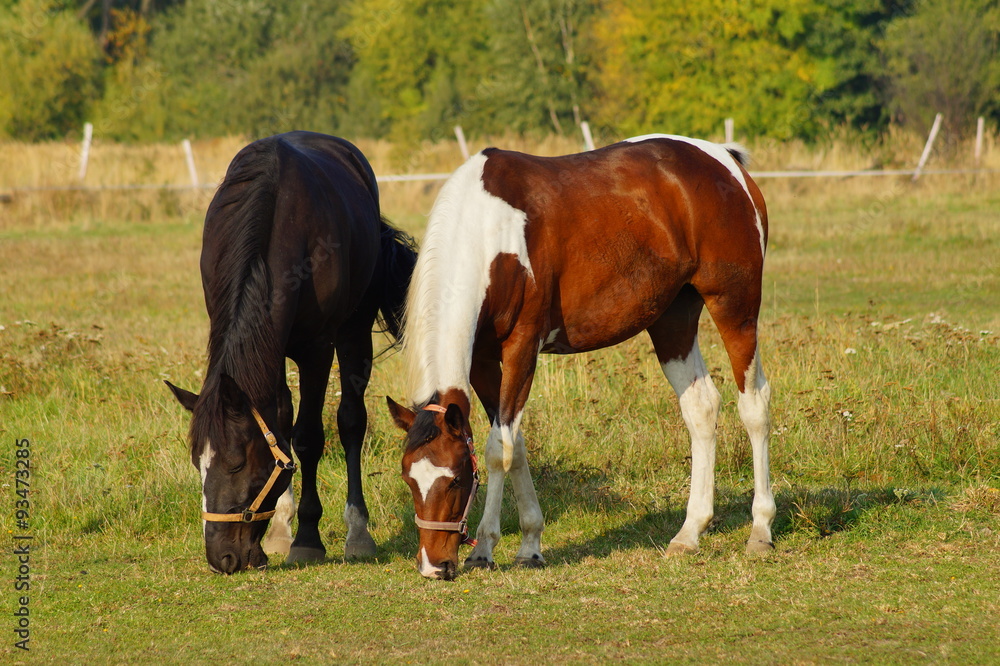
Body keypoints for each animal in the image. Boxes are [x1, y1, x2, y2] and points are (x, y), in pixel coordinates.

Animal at [166, 132, 416, 572]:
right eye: (198, 463)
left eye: (235, 462)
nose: (221, 557)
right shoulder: (269, 348)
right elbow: (279, 425)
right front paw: (281, 529)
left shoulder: (317, 350)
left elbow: (308, 438)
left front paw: (308, 538)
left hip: (353, 334)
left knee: (351, 421)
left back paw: (357, 532)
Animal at [384, 134, 772, 576]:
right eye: (408, 479)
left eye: (454, 479)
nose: (434, 566)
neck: (488, 235)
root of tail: (725, 160)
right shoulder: (482, 361)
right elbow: (515, 444)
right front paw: (530, 543)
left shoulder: (522, 348)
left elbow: (498, 450)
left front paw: (484, 547)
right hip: (673, 319)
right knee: (701, 408)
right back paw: (689, 533)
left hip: (735, 307)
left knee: (754, 405)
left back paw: (761, 531)